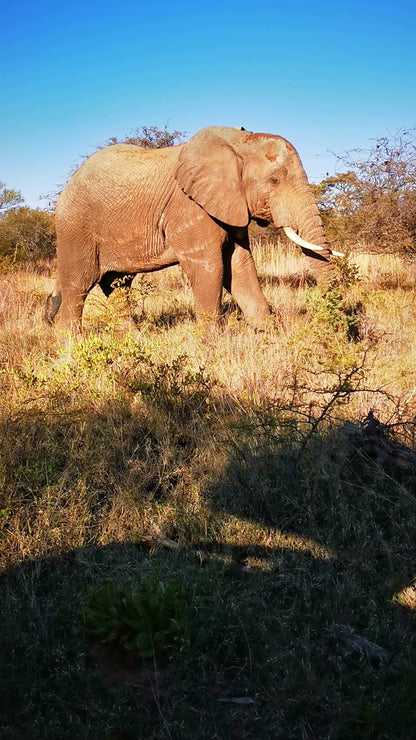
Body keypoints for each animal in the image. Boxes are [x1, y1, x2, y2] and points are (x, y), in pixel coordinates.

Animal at [45, 125, 340, 330]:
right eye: (274, 181)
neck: (238, 142)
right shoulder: (190, 207)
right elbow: (209, 267)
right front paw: (213, 347)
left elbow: (239, 265)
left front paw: (266, 335)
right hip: (76, 226)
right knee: (78, 286)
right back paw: (70, 349)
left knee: (117, 285)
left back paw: (133, 339)